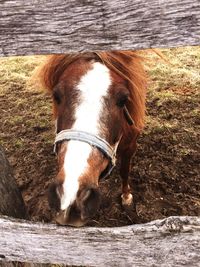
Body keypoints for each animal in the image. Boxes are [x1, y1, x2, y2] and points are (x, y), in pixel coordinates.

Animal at [38, 51, 146, 227]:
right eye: (56, 95)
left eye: (123, 99)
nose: (70, 199)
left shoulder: (131, 145)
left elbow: (125, 170)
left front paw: (126, 198)